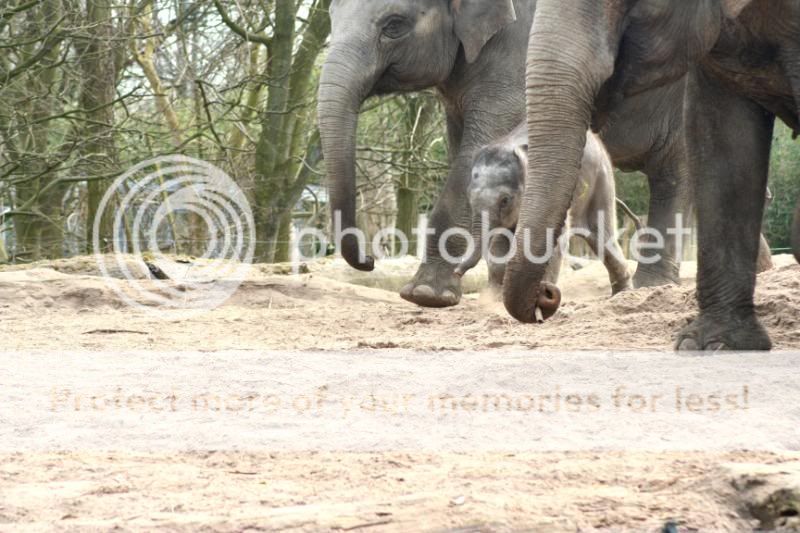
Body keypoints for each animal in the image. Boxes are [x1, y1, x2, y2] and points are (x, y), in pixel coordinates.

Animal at [450, 120, 632, 316]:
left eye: (505, 200)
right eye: (469, 197)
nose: (456, 272)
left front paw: (541, 295)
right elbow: (500, 243)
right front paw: (495, 299)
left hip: (601, 180)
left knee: (601, 234)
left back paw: (623, 295)